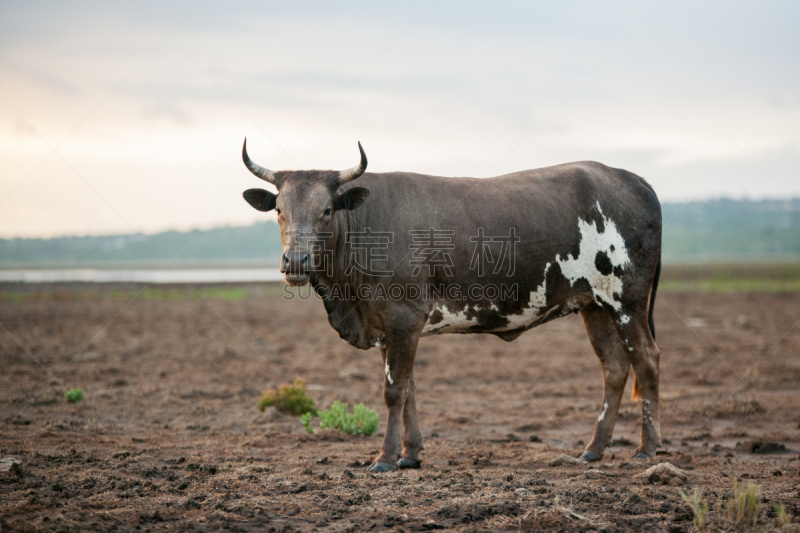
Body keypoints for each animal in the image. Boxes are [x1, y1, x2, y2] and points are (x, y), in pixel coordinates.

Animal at [242, 139, 664, 472]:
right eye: (279, 210)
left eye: (327, 210)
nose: (296, 262)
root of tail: (632, 179)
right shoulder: (390, 326)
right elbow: (408, 389)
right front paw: (410, 454)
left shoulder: (403, 318)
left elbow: (393, 391)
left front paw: (385, 458)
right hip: (595, 305)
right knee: (614, 368)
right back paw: (594, 449)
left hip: (627, 299)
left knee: (646, 359)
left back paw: (647, 449)